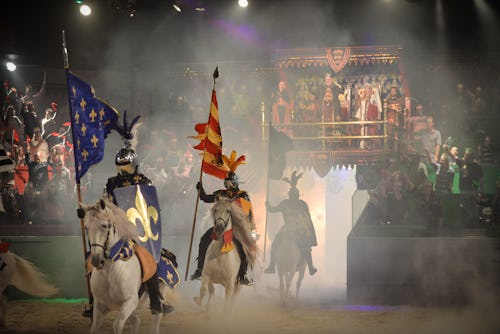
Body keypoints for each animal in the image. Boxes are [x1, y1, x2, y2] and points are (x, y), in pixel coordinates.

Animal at [77, 198, 172, 334]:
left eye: (105, 225)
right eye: (86, 227)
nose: (96, 261)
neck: (110, 270)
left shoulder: (130, 301)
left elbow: (117, 325)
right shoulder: (99, 305)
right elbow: (94, 328)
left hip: (159, 294)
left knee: (156, 318)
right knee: (136, 320)